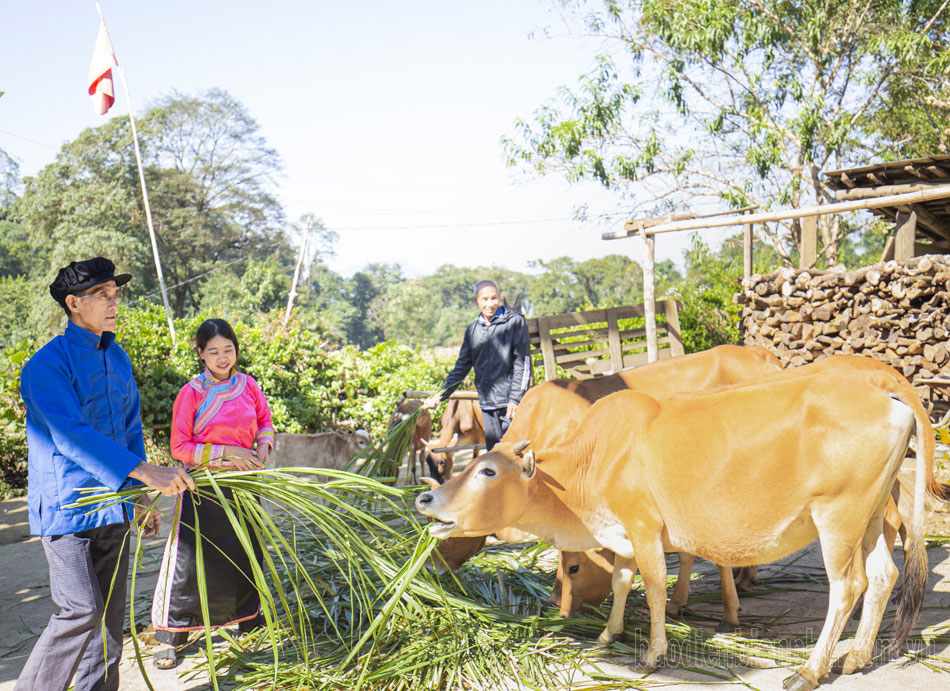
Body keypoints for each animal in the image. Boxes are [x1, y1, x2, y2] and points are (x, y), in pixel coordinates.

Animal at [416, 360, 944, 688]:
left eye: (487, 471)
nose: (426, 497)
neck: (589, 460)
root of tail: (887, 386)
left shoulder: (643, 526)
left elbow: (652, 586)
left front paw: (654, 653)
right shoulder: (622, 533)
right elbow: (621, 580)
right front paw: (608, 634)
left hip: (838, 516)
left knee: (847, 586)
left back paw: (811, 670)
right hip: (869, 516)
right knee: (883, 576)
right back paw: (855, 657)